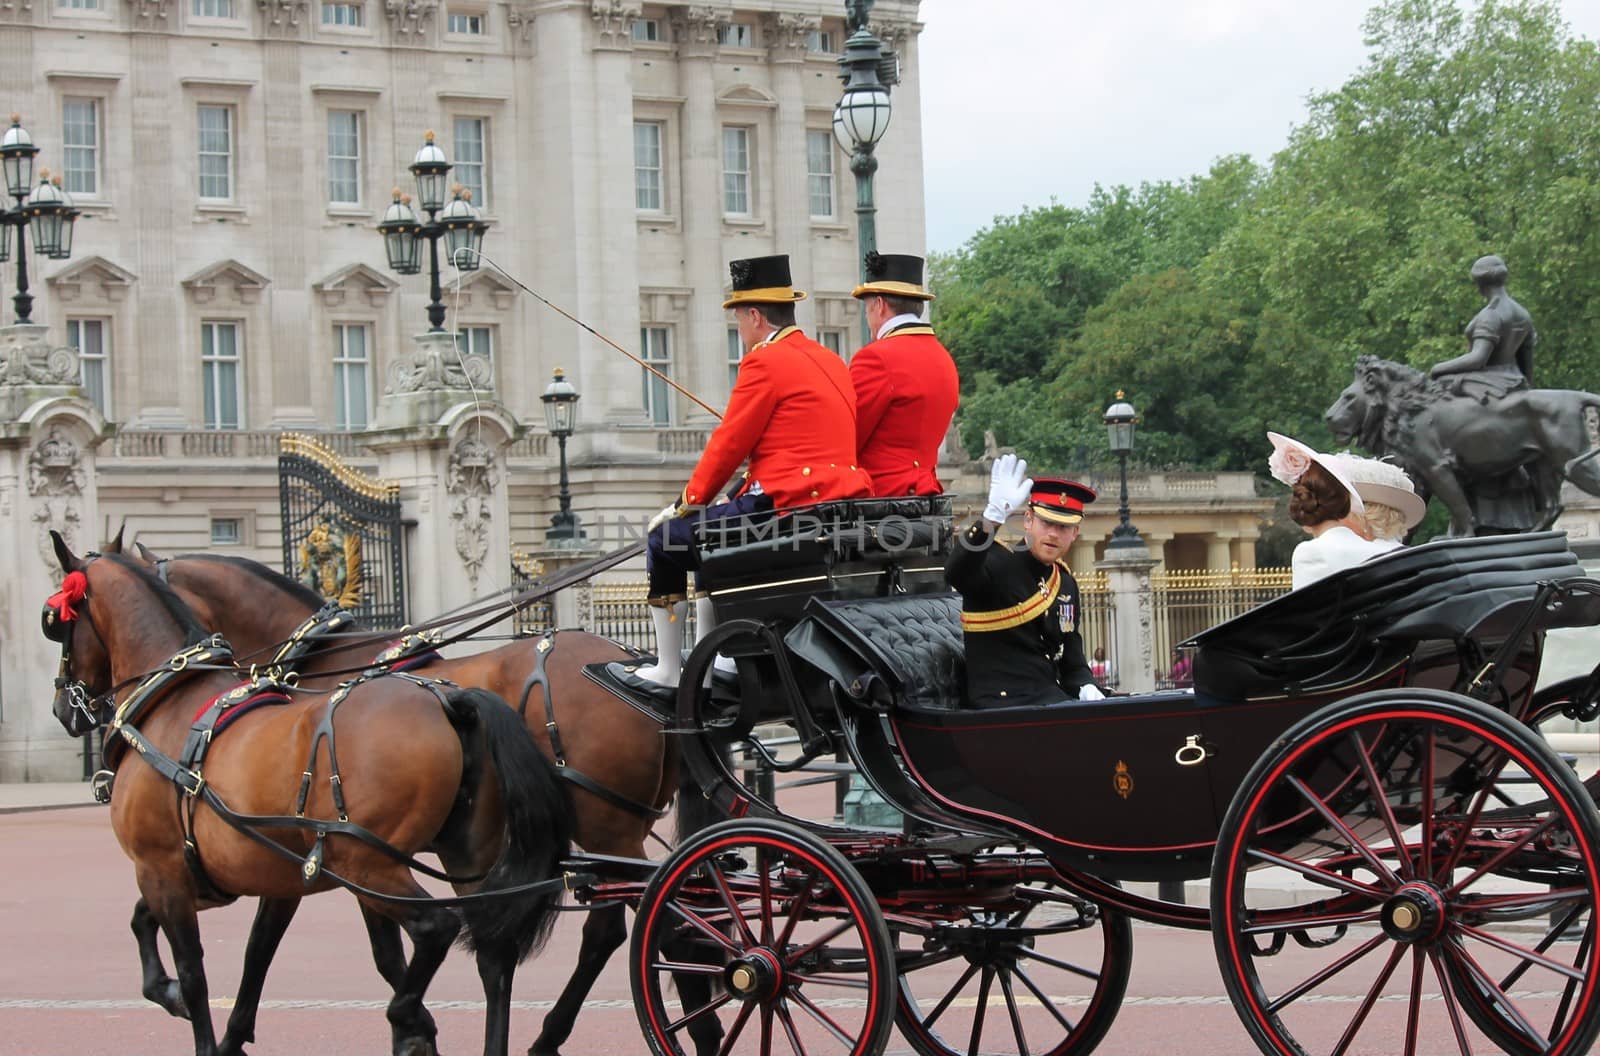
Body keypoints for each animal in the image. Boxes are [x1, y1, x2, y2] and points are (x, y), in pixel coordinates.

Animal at [111, 544, 688, 1056]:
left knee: (626, 923)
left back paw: (559, 1032)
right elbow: (263, 944)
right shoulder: (301, 853)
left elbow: (376, 952)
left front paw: (413, 1028)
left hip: (606, 826)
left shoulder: (341, 852)